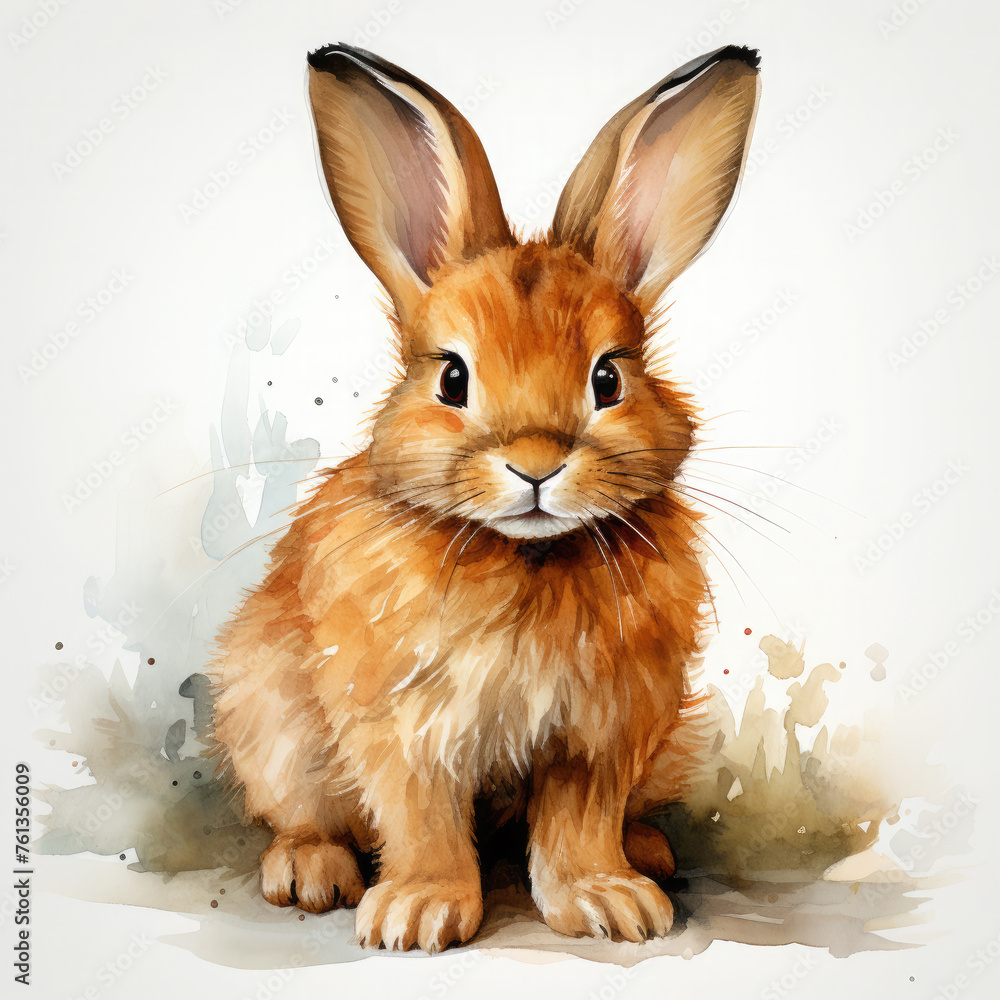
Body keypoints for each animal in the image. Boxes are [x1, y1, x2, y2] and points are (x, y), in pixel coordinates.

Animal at [210, 41, 760, 952]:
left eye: (608, 380)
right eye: (452, 379)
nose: (536, 466)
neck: (525, 557)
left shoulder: (602, 735)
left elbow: (577, 823)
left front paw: (609, 902)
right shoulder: (402, 728)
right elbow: (421, 818)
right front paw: (417, 914)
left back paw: (648, 852)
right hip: (269, 725)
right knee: (303, 815)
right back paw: (312, 874)